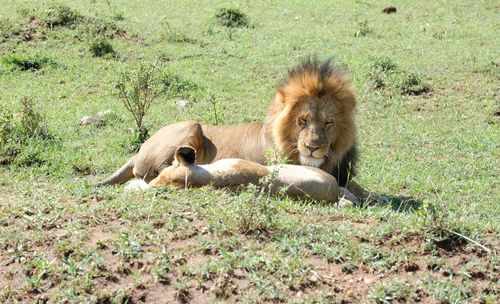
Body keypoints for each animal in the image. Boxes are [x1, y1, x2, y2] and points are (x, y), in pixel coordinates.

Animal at [98, 57, 386, 204]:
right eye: (302, 121)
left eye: (328, 123)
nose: (313, 147)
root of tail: (139, 151)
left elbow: (358, 187)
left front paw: (377, 198)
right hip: (192, 124)